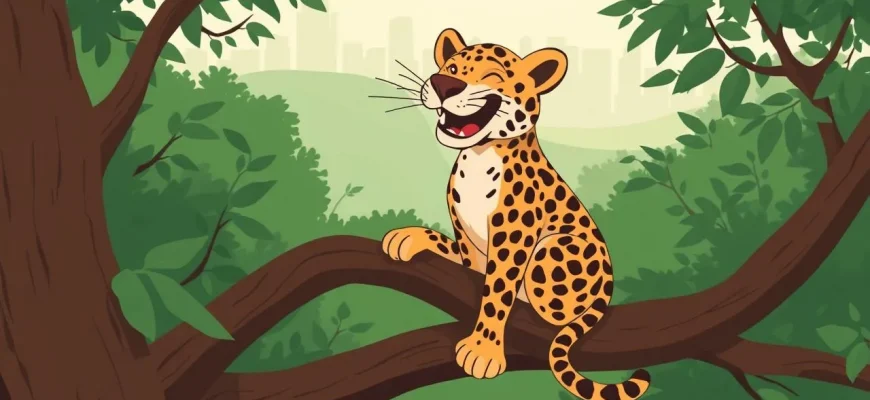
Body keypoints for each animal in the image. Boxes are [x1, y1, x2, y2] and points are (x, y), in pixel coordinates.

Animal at [380, 28, 651, 400]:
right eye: (450, 67)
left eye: (492, 77)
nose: (443, 84)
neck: (478, 156)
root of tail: (608, 283)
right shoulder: (468, 243)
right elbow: (459, 255)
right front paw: (407, 237)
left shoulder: (513, 235)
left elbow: (497, 291)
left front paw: (482, 350)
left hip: (555, 247)